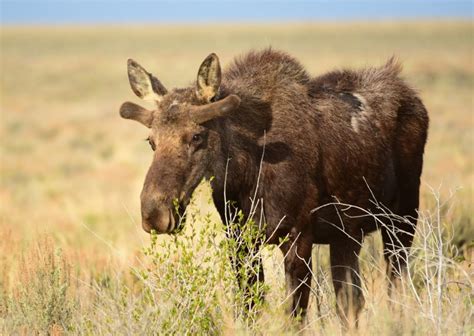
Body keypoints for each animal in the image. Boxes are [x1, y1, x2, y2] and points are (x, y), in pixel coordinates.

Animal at [119, 49, 430, 326]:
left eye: (196, 136)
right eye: (151, 141)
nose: (154, 213)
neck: (245, 172)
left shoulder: (298, 236)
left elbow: (295, 318)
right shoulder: (241, 242)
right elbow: (249, 311)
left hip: (402, 220)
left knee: (395, 292)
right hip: (347, 236)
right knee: (351, 303)